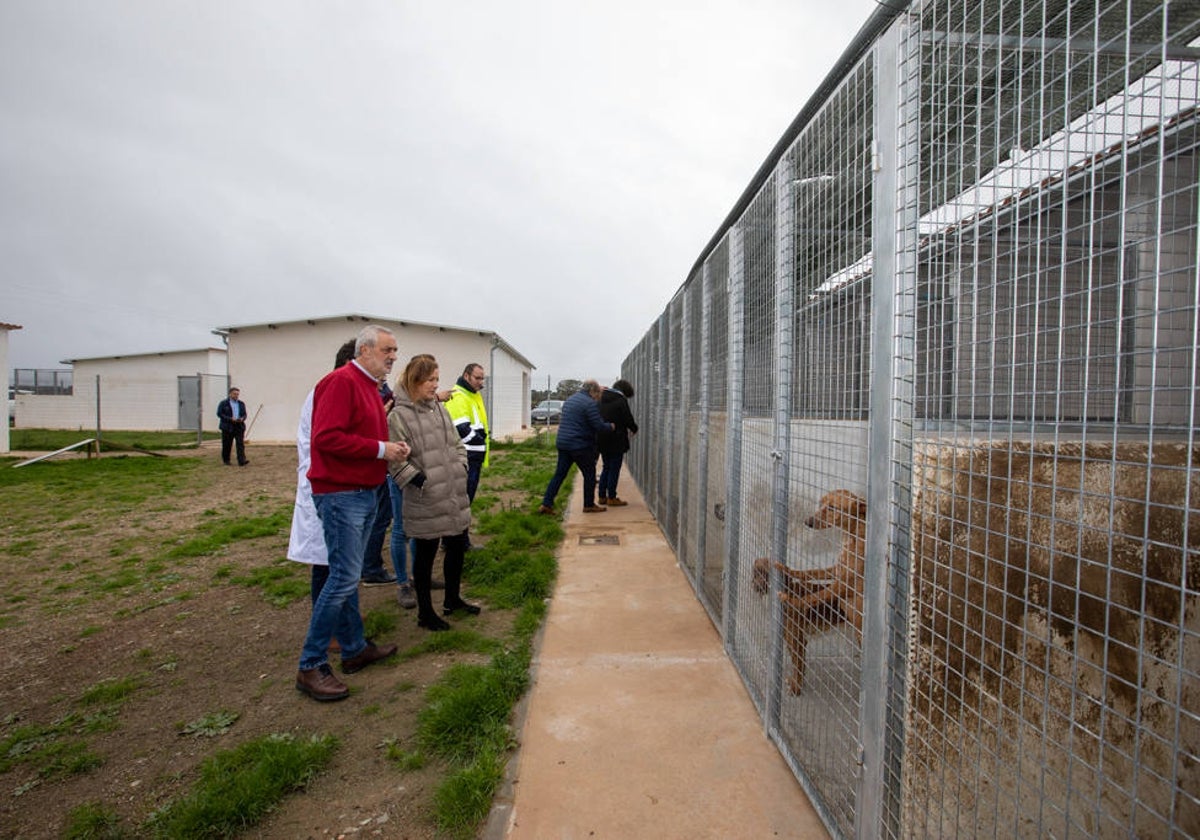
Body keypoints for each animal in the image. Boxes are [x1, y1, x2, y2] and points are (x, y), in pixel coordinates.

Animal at [748, 489, 864, 691]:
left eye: (766, 575)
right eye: (756, 573)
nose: (756, 586)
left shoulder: (797, 638)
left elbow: (798, 664)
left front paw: (796, 687)